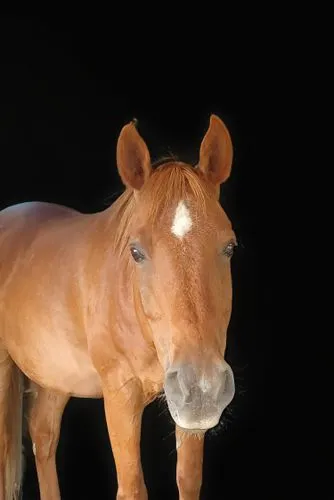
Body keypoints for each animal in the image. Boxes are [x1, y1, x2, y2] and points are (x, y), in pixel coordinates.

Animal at [0, 115, 237, 498]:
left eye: (229, 247)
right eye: (136, 252)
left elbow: (188, 481)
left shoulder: (184, 409)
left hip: (54, 374)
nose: (202, 386)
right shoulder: (120, 395)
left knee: (43, 436)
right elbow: (132, 487)